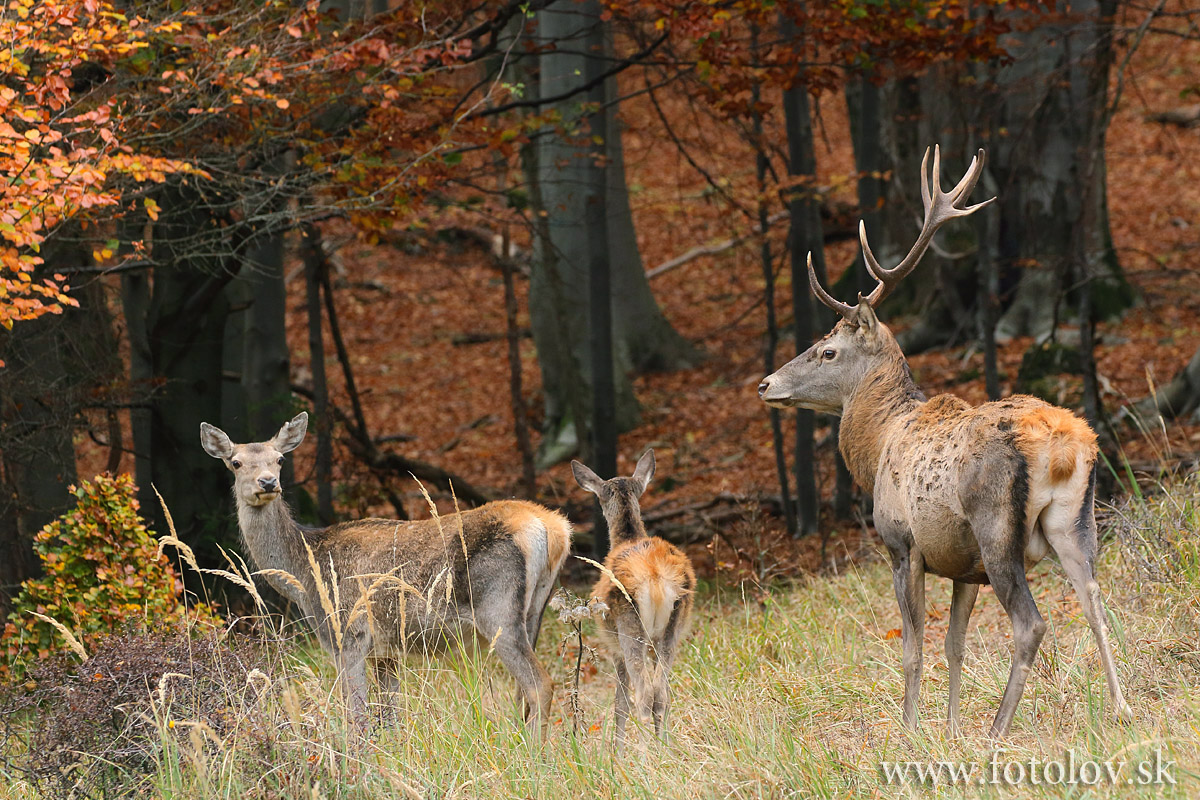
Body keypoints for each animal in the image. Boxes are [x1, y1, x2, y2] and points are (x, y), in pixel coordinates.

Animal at [200, 417, 571, 729]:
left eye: (279, 459)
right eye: (236, 462)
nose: (267, 482)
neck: (305, 574)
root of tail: (553, 528)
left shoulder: (348, 634)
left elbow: (357, 718)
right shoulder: (386, 651)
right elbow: (390, 718)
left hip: (497, 609)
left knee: (540, 685)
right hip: (535, 610)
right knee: (526, 692)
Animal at [571, 450, 696, 743]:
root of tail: (655, 578)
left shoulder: (614, 647)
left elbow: (620, 702)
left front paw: (616, 750)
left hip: (629, 628)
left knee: (643, 695)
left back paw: (645, 751)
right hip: (671, 629)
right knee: (662, 693)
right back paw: (665, 747)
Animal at [758, 145, 1132, 738]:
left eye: (827, 351)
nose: (766, 384)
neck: (878, 443)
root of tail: (1064, 447)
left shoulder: (903, 543)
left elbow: (913, 647)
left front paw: (912, 729)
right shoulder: (962, 565)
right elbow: (955, 644)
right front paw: (951, 727)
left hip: (997, 526)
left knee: (1032, 623)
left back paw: (998, 731)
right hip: (1075, 523)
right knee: (1093, 596)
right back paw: (1120, 708)